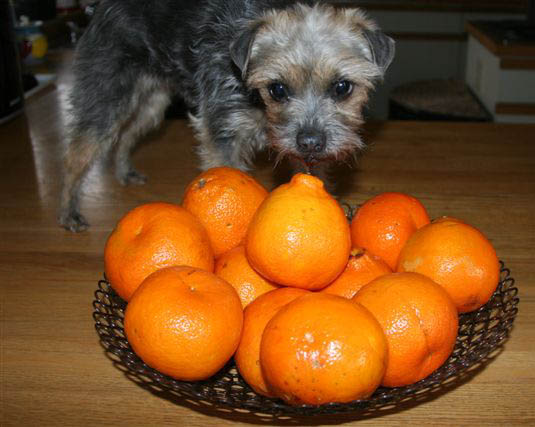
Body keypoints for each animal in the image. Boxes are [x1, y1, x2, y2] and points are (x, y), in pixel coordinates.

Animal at [58, 0, 395, 232]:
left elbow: (311, 175)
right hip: (107, 96)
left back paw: (124, 171)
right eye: (277, 89)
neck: (256, 102)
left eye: (342, 87)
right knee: (78, 152)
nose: (310, 141)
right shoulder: (222, 134)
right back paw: (69, 211)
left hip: (153, 103)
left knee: (126, 134)